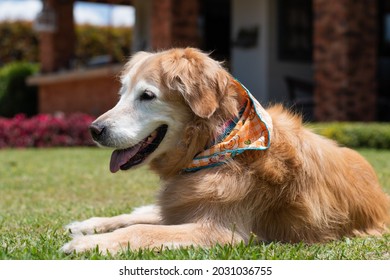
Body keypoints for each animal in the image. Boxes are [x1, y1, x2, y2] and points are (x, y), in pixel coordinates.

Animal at [61, 47, 390, 254]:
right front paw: (91, 232)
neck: (216, 142)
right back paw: (87, 224)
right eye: (122, 94)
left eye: (147, 96)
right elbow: (139, 221)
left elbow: (141, 230)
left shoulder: (219, 231)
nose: (94, 130)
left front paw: (86, 245)